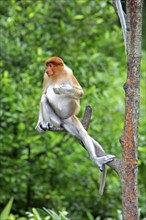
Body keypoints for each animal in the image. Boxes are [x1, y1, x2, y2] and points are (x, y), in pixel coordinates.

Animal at [35, 56, 115, 194]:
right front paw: (39, 125)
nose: (46, 70)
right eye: (47, 65)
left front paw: (60, 88)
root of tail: (64, 120)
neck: (58, 75)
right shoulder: (46, 78)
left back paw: (96, 159)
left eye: (51, 65)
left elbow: (80, 92)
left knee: (83, 132)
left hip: (71, 116)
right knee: (44, 99)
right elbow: (44, 93)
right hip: (57, 119)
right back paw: (46, 124)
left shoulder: (69, 73)